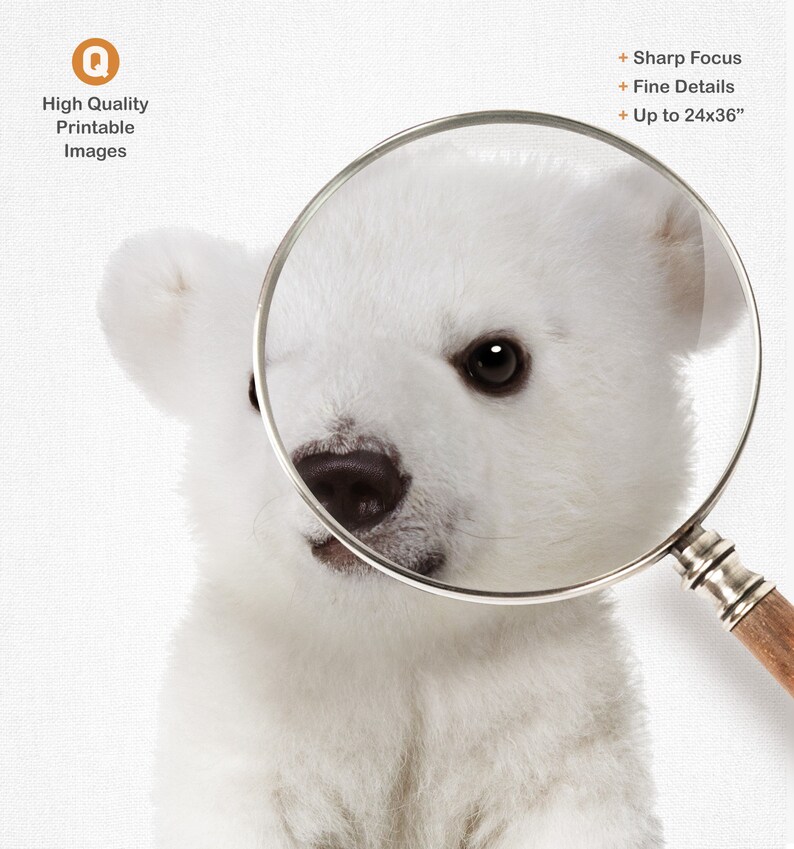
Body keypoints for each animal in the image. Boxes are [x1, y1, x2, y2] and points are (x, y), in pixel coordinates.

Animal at [100, 144, 737, 847]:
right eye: (253, 387)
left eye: (496, 357)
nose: (345, 475)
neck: (395, 639)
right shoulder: (255, 717)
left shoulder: (551, 721)